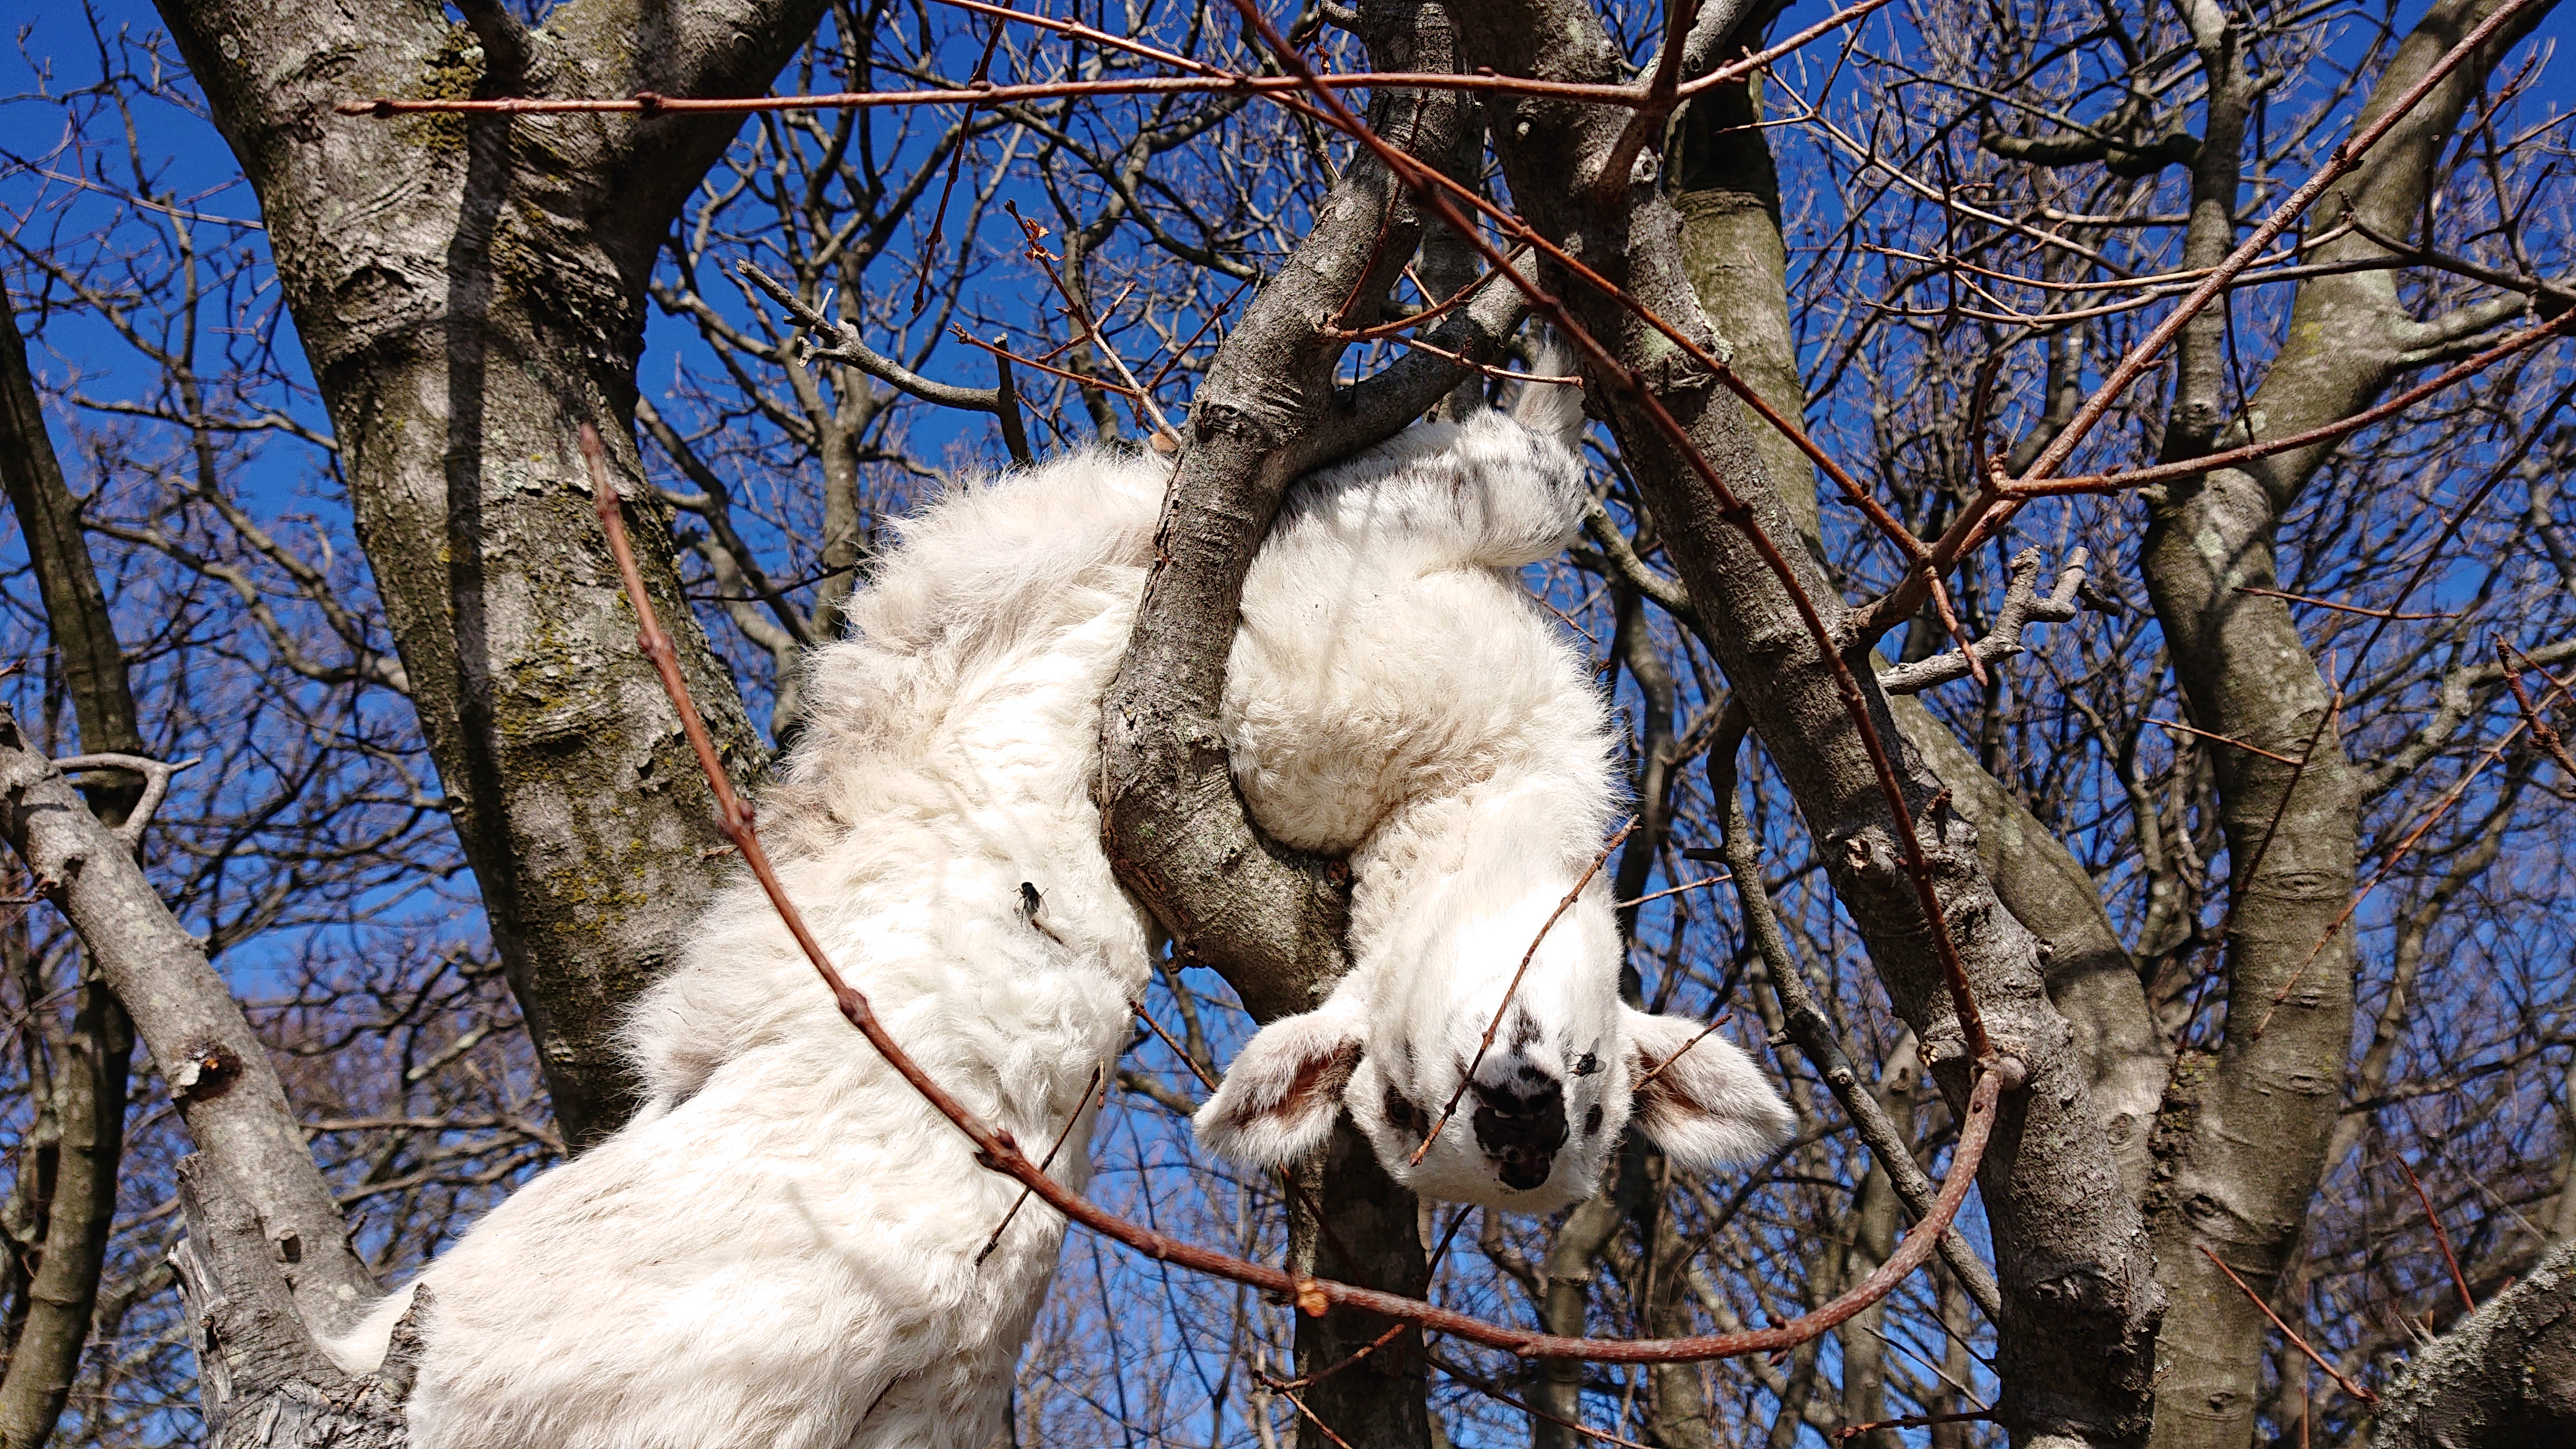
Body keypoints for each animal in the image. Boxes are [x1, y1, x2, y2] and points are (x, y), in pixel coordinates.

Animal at [317, 373, 1793, 1444]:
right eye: (1400, 1101)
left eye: (1591, 1106)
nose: (1521, 1117)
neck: (1492, 780)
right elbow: (1513, 480)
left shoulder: (1319, 648)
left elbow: (1491, 479)